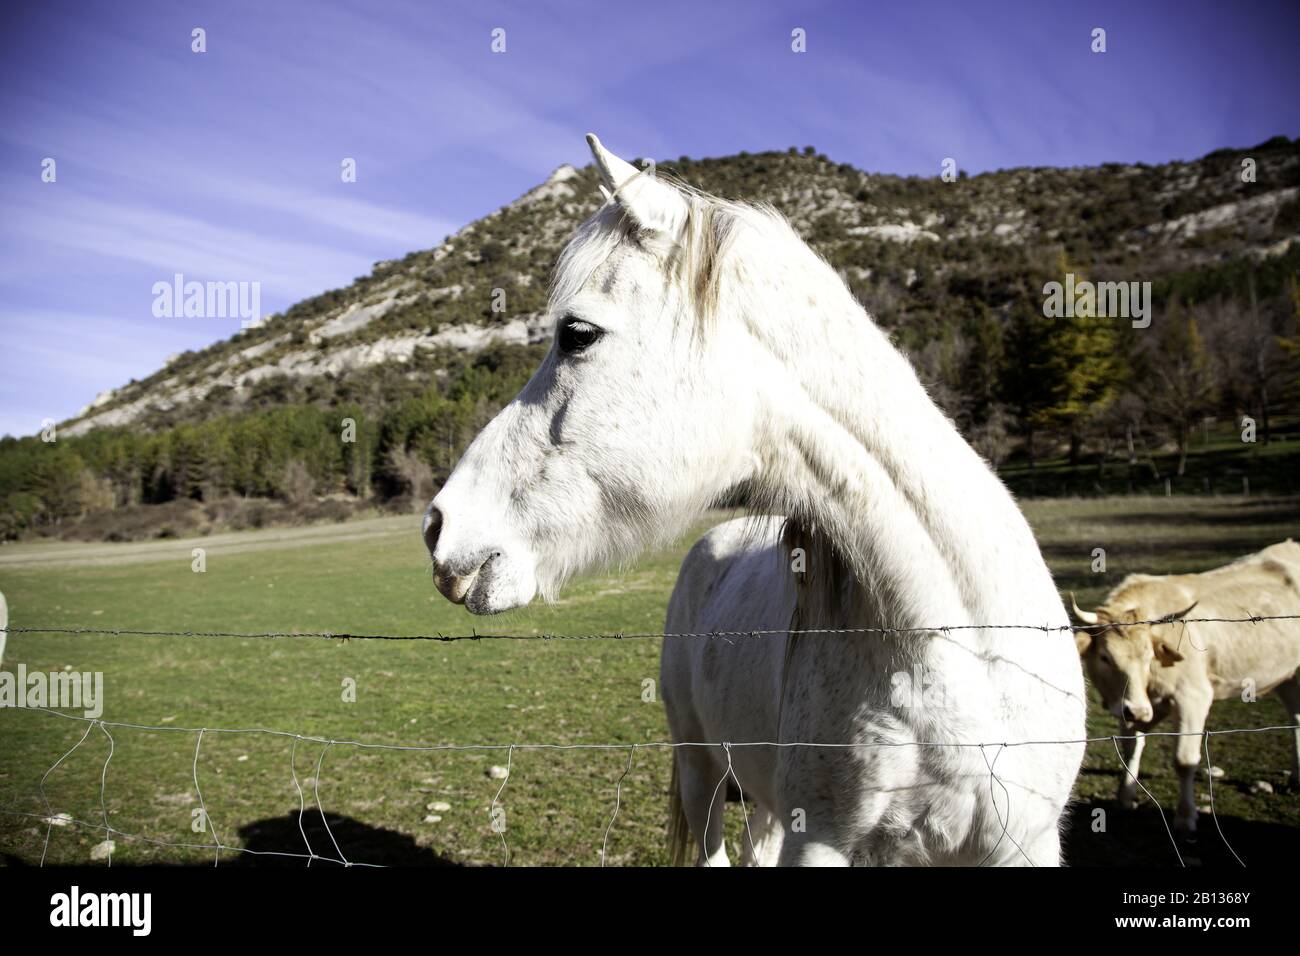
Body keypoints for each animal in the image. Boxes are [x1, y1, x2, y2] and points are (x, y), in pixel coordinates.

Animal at [426, 132, 1086, 868]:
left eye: (578, 333)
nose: (438, 524)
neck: (957, 648)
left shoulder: (1023, 843)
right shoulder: (819, 839)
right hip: (702, 770)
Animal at [1071, 541, 1300, 832]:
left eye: (1148, 656)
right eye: (1104, 657)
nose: (1138, 711)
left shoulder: (1192, 698)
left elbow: (1184, 760)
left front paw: (1185, 817)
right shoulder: (1129, 705)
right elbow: (1131, 747)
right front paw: (1125, 796)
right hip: (1287, 676)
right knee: (1296, 717)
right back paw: (1296, 778)